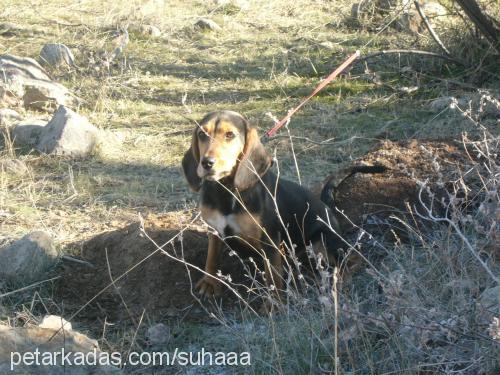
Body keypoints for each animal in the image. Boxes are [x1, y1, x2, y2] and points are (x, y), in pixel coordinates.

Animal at [182, 111, 346, 300]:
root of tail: (329, 209)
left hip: (321, 244)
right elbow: (211, 258)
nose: (207, 162)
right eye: (201, 134)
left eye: (230, 135)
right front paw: (210, 282)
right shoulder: (214, 231)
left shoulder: (270, 241)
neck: (227, 191)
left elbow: (273, 278)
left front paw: (274, 304)